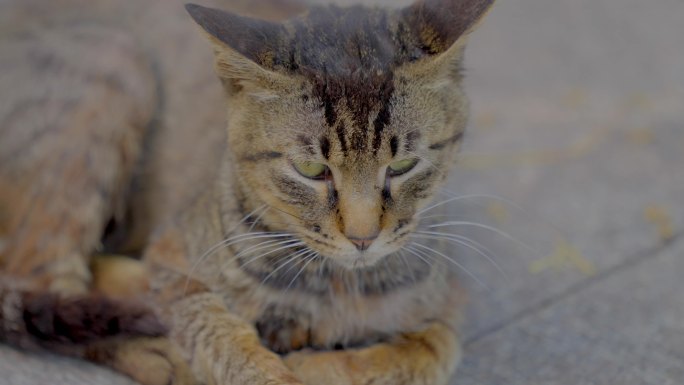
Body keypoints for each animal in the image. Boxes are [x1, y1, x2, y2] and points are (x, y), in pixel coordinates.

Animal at [2, 0, 496, 384]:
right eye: (311, 169)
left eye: (403, 165)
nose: (363, 238)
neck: (332, 284)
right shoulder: (176, 255)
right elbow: (220, 332)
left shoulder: (443, 300)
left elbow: (434, 350)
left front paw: (316, 365)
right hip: (113, 64)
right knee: (42, 284)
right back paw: (156, 349)